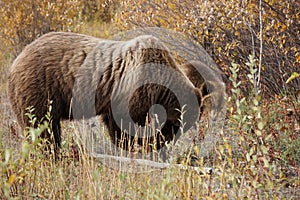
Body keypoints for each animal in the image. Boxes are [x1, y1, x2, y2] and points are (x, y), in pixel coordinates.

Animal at [8, 32, 202, 152]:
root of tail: (17, 60)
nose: (166, 143)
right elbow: (124, 125)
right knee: (40, 126)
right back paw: (50, 152)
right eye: (175, 125)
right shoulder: (131, 89)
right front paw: (134, 146)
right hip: (39, 89)